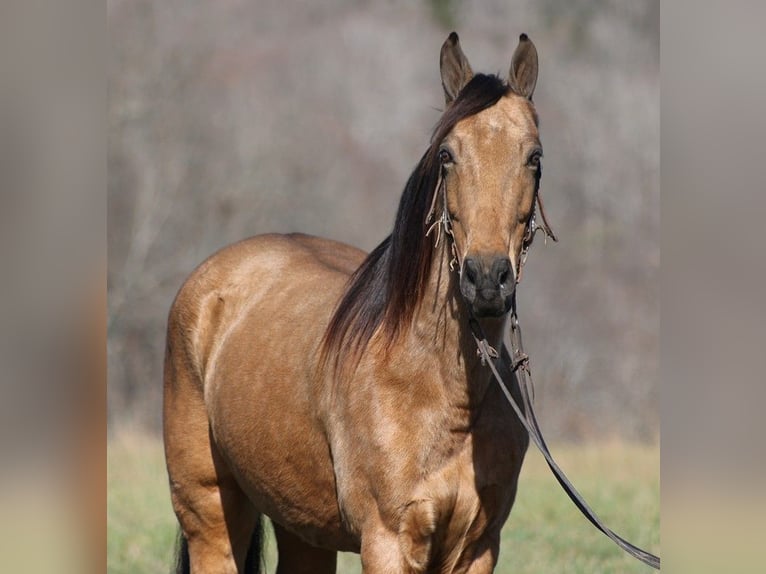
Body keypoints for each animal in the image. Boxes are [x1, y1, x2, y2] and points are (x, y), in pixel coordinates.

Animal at [166, 32, 552, 574]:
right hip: (210, 514)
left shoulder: (477, 548)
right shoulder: (388, 541)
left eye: (534, 157)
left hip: (302, 526)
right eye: (447, 155)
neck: (439, 387)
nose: (487, 279)